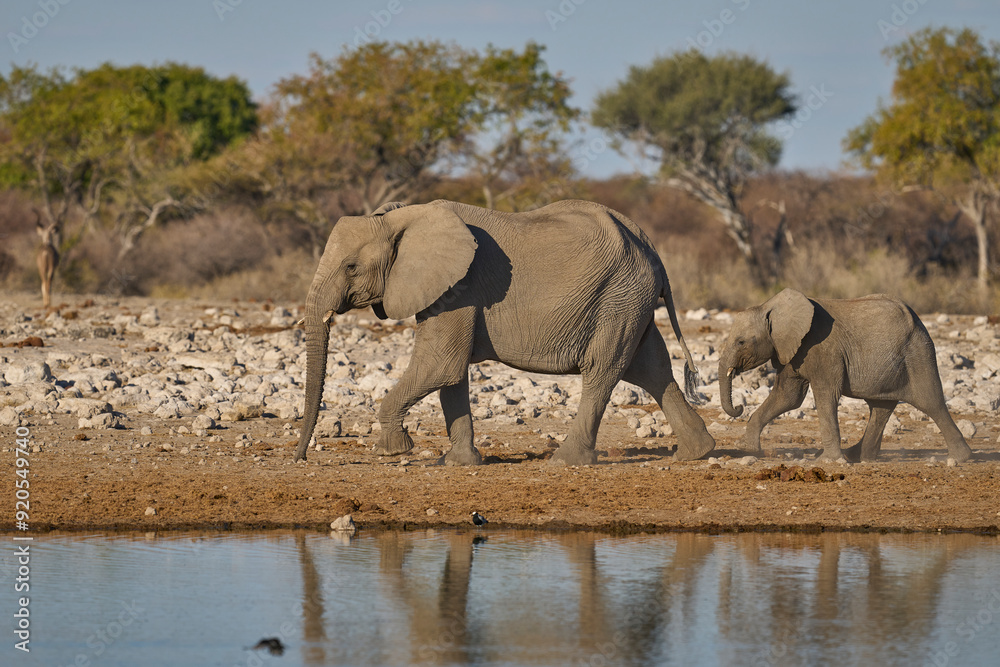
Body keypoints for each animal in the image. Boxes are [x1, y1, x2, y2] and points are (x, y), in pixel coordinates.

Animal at [294, 199, 716, 466]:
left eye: (350, 267)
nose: (300, 458)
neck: (402, 218)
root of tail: (650, 247)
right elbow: (451, 376)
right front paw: (457, 464)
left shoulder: (460, 287)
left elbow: (440, 365)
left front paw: (393, 451)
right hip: (630, 299)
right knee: (650, 367)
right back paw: (698, 452)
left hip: (618, 296)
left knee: (603, 370)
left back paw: (565, 462)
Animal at [718, 288, 972, 463]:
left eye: (741, 342)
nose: (739, 407)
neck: (769, 307)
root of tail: (918, 319)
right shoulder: (791, 351)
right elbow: (787, 397)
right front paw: (750, 450)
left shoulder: (822, 349)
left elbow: (824, 396)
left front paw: (828, 461)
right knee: (881, 407)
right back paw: (859, 456)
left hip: (918, 354)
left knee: (931, 402)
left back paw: (961, 458)